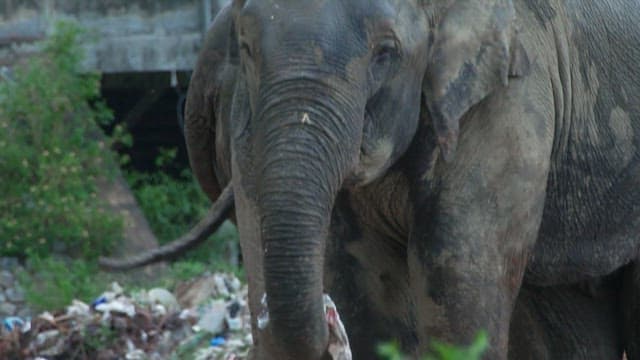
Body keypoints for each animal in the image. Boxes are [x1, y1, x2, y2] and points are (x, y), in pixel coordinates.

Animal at [102, 0, 640, 358]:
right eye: (248, 47)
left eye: (386, 52)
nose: (326, 326)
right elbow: (364, 287)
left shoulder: (510, 96)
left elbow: (455, 282)